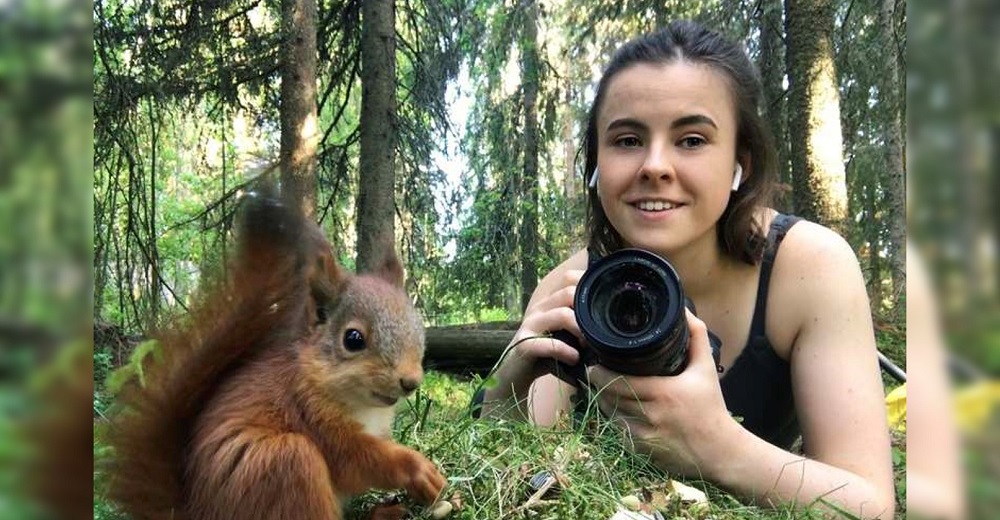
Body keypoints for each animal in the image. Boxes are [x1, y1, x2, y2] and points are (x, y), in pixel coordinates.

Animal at [105, 194, 446, 520]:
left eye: (418, 328)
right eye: (353, 339)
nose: (411, 382)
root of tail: (194, 513)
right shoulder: (309, 411)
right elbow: (358, 460)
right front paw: (418, 469)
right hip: (286, 463)